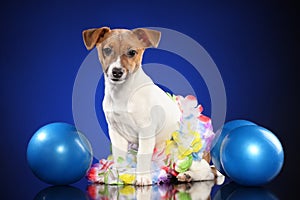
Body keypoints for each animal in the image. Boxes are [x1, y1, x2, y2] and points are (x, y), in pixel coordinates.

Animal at [82, 26, 220, 186]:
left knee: (208, 172)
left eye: (132, 52)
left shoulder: (146, 130)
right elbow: (119, 157)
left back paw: (187, 175)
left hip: (189, 154)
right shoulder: (116, 132)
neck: (123, 93)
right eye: (107, 50)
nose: (117, 72)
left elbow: (142, 155)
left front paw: (142, 177)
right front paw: (118, 176)